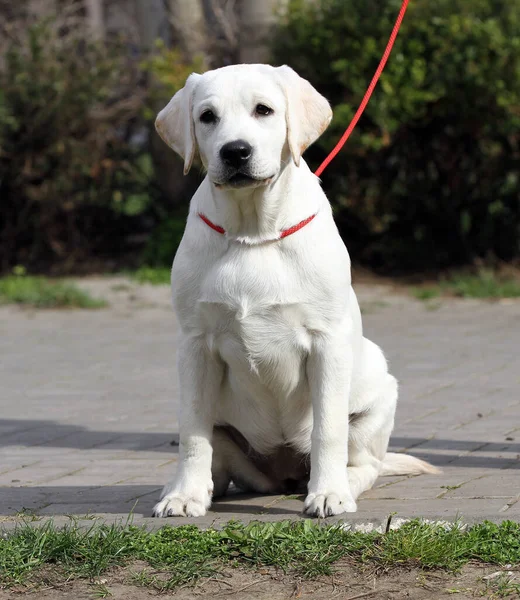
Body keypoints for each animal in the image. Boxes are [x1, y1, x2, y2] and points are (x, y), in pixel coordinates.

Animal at [151, 63, 438, 516]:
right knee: (219, 459)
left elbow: (328, 429)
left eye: (264, 110)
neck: (253, 233)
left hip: (378, 395)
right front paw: (184, 496)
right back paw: (191, 488)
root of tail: (283, 474)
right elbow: (192, 432)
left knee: (366, 464)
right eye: (207, 116)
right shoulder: (194, 344)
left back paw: (341, 485)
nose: (235, 152)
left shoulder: (327, 342)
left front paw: (328, 494)